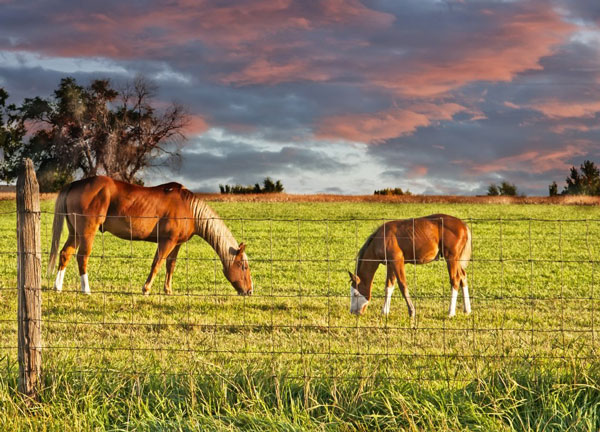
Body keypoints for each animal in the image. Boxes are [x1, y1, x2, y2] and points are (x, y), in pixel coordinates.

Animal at [48, 175, 252, 294]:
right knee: (82, 257)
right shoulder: (167, 242)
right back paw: (86, 289)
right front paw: (146, 288)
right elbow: (157, 263)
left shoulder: (176, 244)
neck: (189, 209)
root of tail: (75, 183)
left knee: (65, 254)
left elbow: (170, 265)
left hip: (75, 233)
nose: (249, 291)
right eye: (243, 267)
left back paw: (58, 286)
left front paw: (168, 290)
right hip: (87, 232)